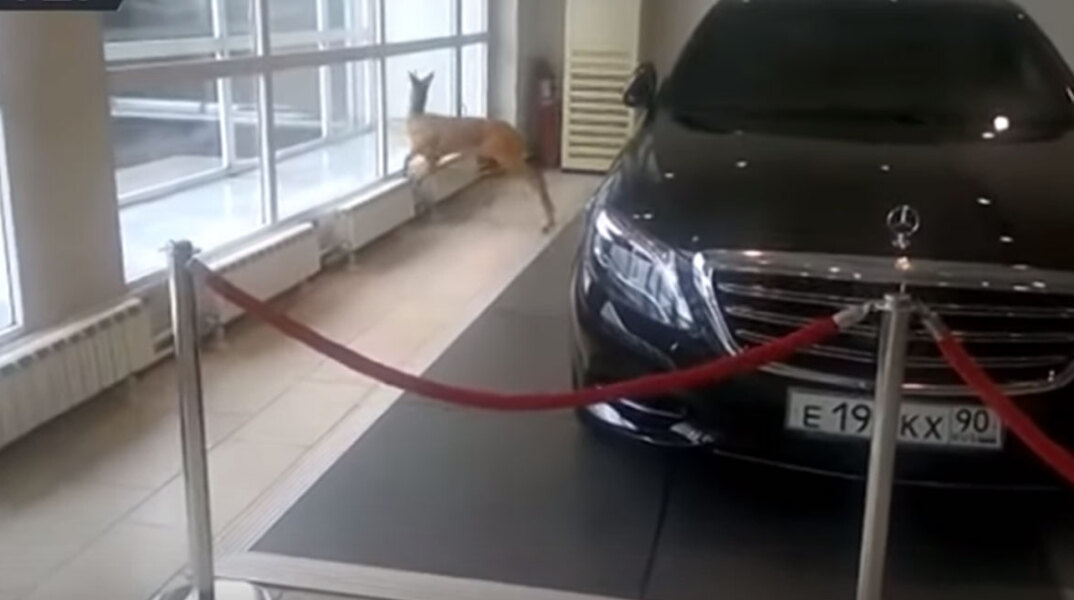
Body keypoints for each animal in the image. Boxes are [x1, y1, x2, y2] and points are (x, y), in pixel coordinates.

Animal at [404, 72, 557, 233]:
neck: (416, 118)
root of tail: (517, 135)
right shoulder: (434, 156)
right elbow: (423, 177)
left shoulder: (425, 148)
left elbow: (412, 165)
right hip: (509, 156)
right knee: (538, 173)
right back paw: (550, 217)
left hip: (506, 156)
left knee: (534, 176)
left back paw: (547, 222)